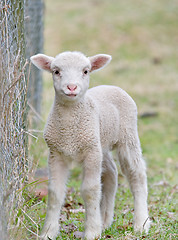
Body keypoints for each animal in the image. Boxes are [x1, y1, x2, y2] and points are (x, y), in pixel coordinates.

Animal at [30, 51, 150, 239]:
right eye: (56, 71)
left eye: (85, 71)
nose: (71, 87)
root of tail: (112, 86)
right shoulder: (56, 153)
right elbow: (55, 192)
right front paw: (48, 232)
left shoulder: (91, 153)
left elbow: (90, 190)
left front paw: (92, 232)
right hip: (101, 143)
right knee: (111, 173)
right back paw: (105, 221)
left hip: (127, 136)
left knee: (137, 175)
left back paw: (141, 224)